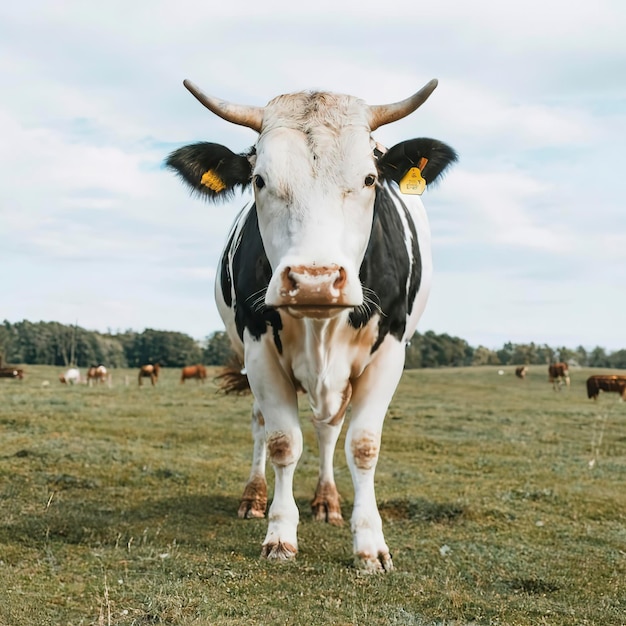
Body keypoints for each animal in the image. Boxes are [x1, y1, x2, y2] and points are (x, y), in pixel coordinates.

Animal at [167, 74, 458, 572]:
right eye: (259, 179)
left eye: (369, 178)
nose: (315, 282)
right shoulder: (258, 349)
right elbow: (283, 440)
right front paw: (280, 535)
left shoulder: (390, 352)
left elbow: (362, 445)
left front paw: (370, 545)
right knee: (262, 424)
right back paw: (254, 497)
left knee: (328, 430)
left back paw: (327, 501)